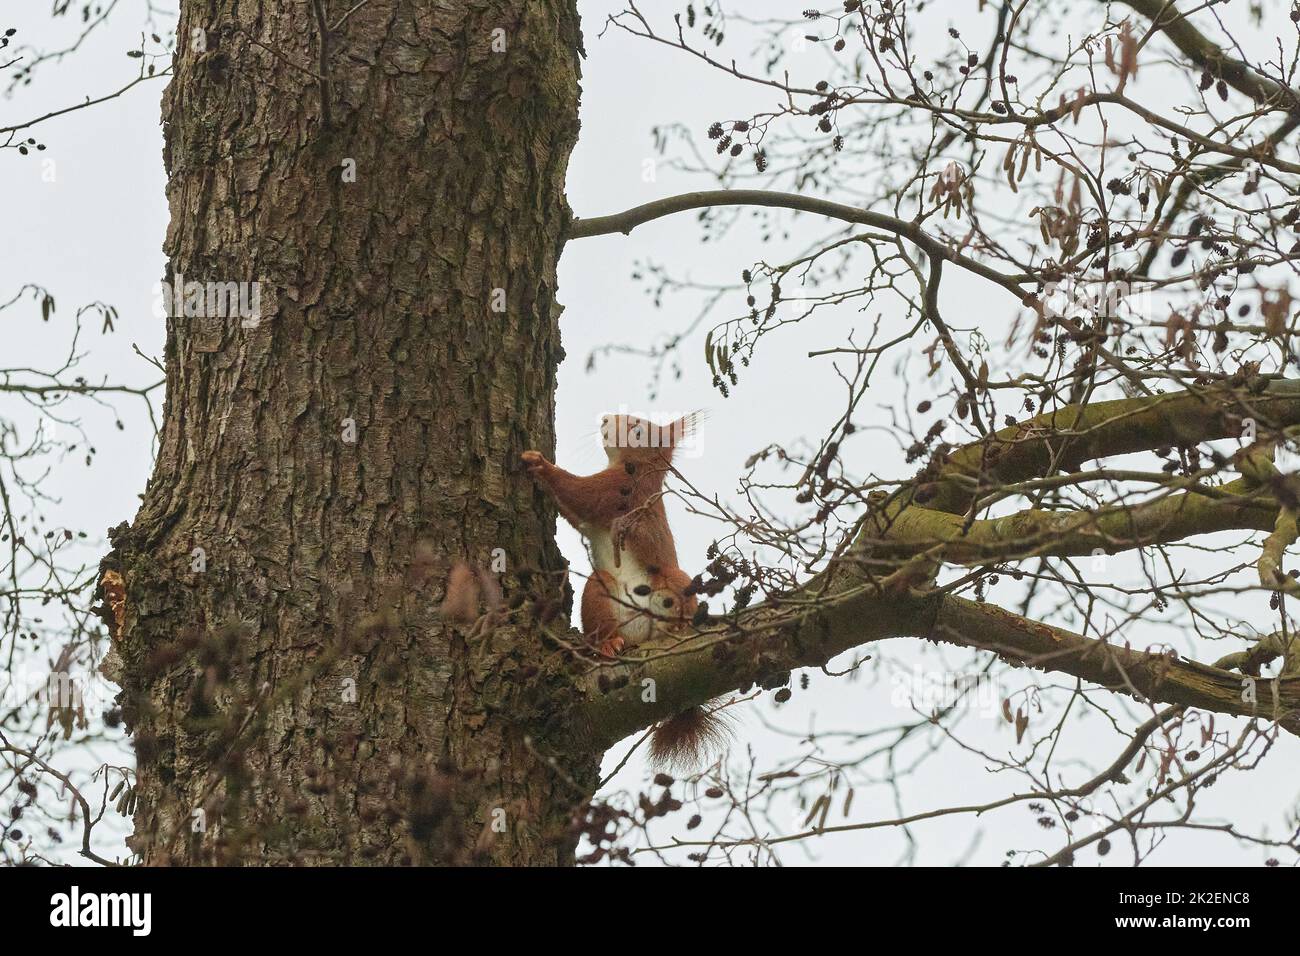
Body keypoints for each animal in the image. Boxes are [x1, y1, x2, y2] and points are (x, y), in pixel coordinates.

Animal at [522, 411, 730, 769]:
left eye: (638, 428)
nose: (606, 417)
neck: (638, 467)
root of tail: (643, 634)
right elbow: (575, 513)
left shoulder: (620, 489)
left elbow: (579, 493)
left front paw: (541, 464)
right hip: (601, 589)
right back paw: (608, 643)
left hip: (674, 582)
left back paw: (681, 628)